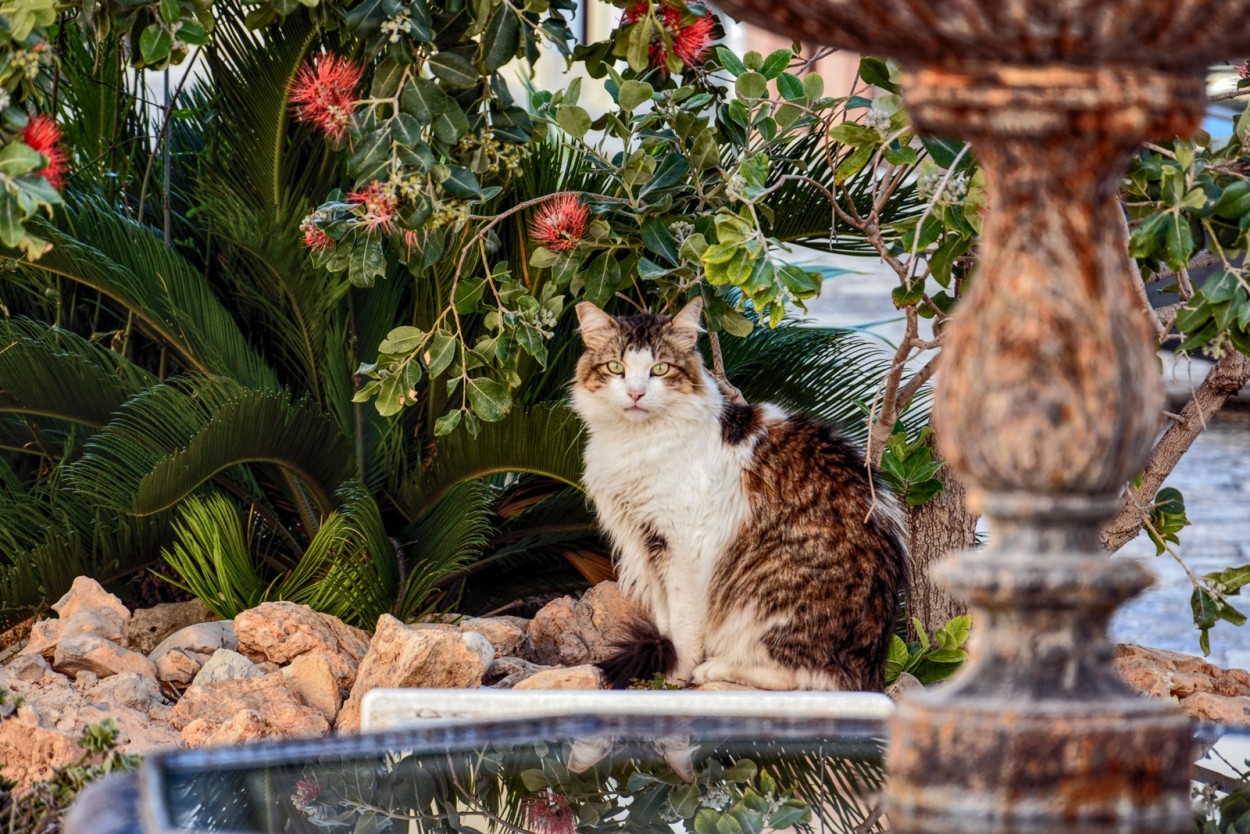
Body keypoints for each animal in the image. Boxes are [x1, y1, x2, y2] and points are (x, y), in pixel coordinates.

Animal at [570, 298, 910, 690]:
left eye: (660, 369)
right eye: (616, 367)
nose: (636, 393)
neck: (636, 440)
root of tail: (870, 666)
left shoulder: (682, 548)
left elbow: (683, 624)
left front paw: (675, 674)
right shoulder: (646, 541)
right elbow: (665, 615)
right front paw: (664, 663)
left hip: (769, 600)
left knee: (800, 675)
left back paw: (716, 667)